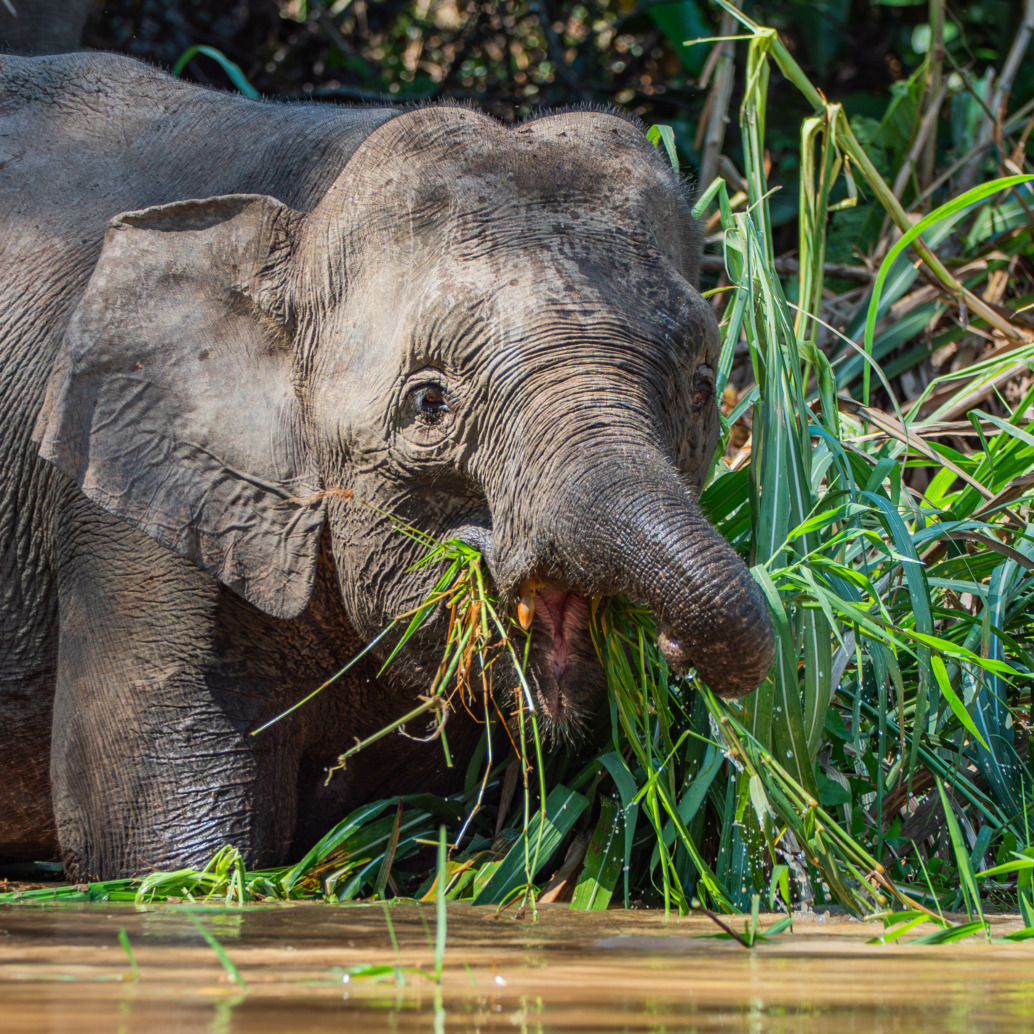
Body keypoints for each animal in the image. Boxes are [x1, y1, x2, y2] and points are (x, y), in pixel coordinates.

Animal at [0, 49, 774, 881]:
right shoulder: (129, 505)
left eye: (700, 387)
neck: (310, 200)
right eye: (429, 403)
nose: (672, 647)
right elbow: (162, 852)